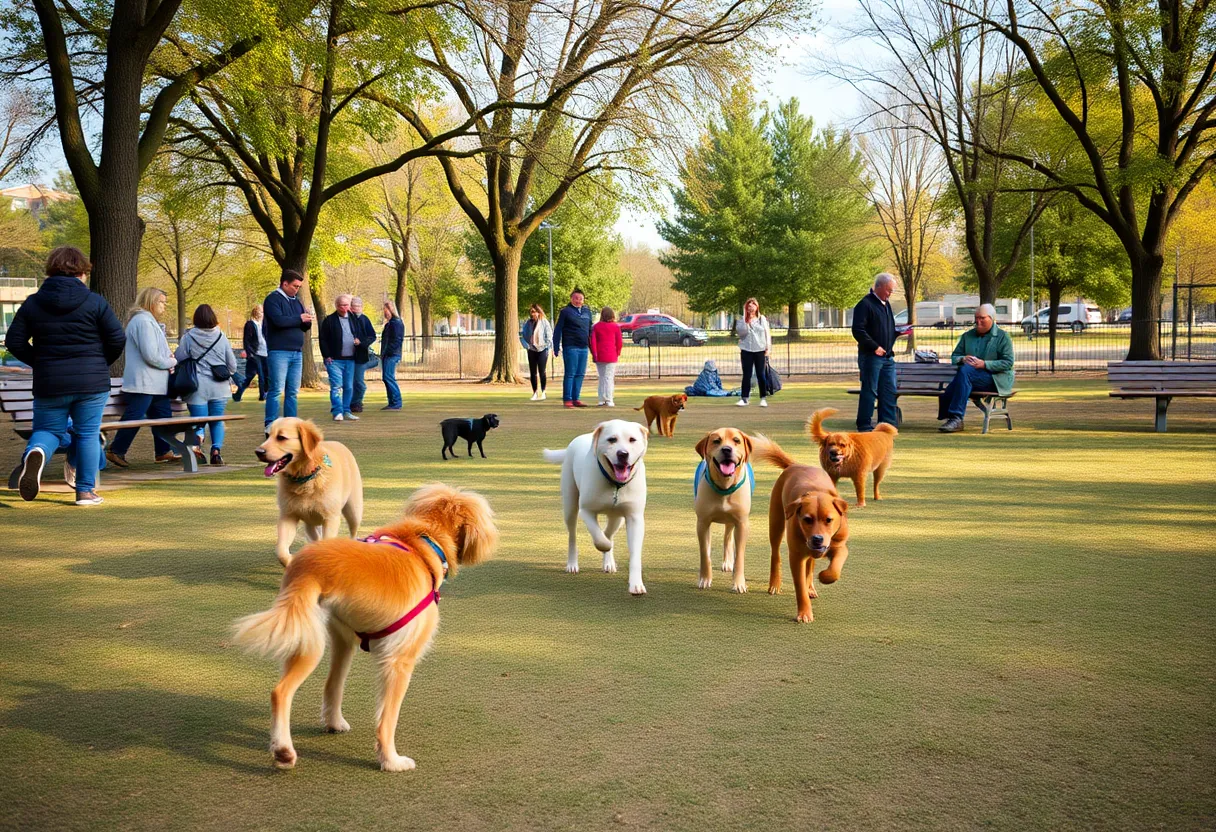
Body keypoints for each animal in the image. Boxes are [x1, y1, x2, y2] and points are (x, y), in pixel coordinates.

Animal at [232, 481, 498, 773]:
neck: (422, 543)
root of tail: (308, 566)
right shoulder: (400, 661)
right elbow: (388, 718)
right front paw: (390, 760)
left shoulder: (344, 640)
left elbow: (334, 686)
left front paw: (335, 724)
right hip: (311, 641)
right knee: (280, 692)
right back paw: (283, 750)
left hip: (305, 632)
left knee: (323, 684)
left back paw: (325, 726)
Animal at [257, 416, 362, 564]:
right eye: (267, 435)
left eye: (281, 437)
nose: (258, 452)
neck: (305, 478)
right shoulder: (288, 516)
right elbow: (281, 551)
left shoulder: (331, 518)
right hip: (309, 523)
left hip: (354, 511)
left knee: (353, 533)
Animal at [544, 423, 651, 591]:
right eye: (612, 439)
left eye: (632, 439)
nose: (623, 454)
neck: (615, 485)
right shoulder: (586, 511)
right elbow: (599, 537)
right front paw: (604, 545)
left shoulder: (634, 517)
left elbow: (633, 553)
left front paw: (636, 585)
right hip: (570, 505)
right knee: (572, 535)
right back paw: (572, 564)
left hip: (617, 518)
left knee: (609, 531)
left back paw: (609, 563)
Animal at [690, 428, 753, 591]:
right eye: (716, 441)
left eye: (736, 440)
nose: (726, 449)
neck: (725, 487)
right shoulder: (703, 522)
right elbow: (704, 553)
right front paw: (705, 579)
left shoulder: (742, 523)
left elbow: (740, 556)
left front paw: (739, 583)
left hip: (732, 520)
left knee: (728, 537)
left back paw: (728, 562)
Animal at [753, 435, 851, 622]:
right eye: (807, 519)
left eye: (829, 520)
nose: (817, 539)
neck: (816, 492)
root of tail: (795, 465)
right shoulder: (796, 556)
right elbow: (799, 586)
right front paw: (805, 613)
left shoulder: (839, 545)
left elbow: (835, 568)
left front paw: (824, 577)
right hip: (776, 522)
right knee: (775, 554)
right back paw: (775, 584)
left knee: (810, 565)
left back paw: (811, 586)